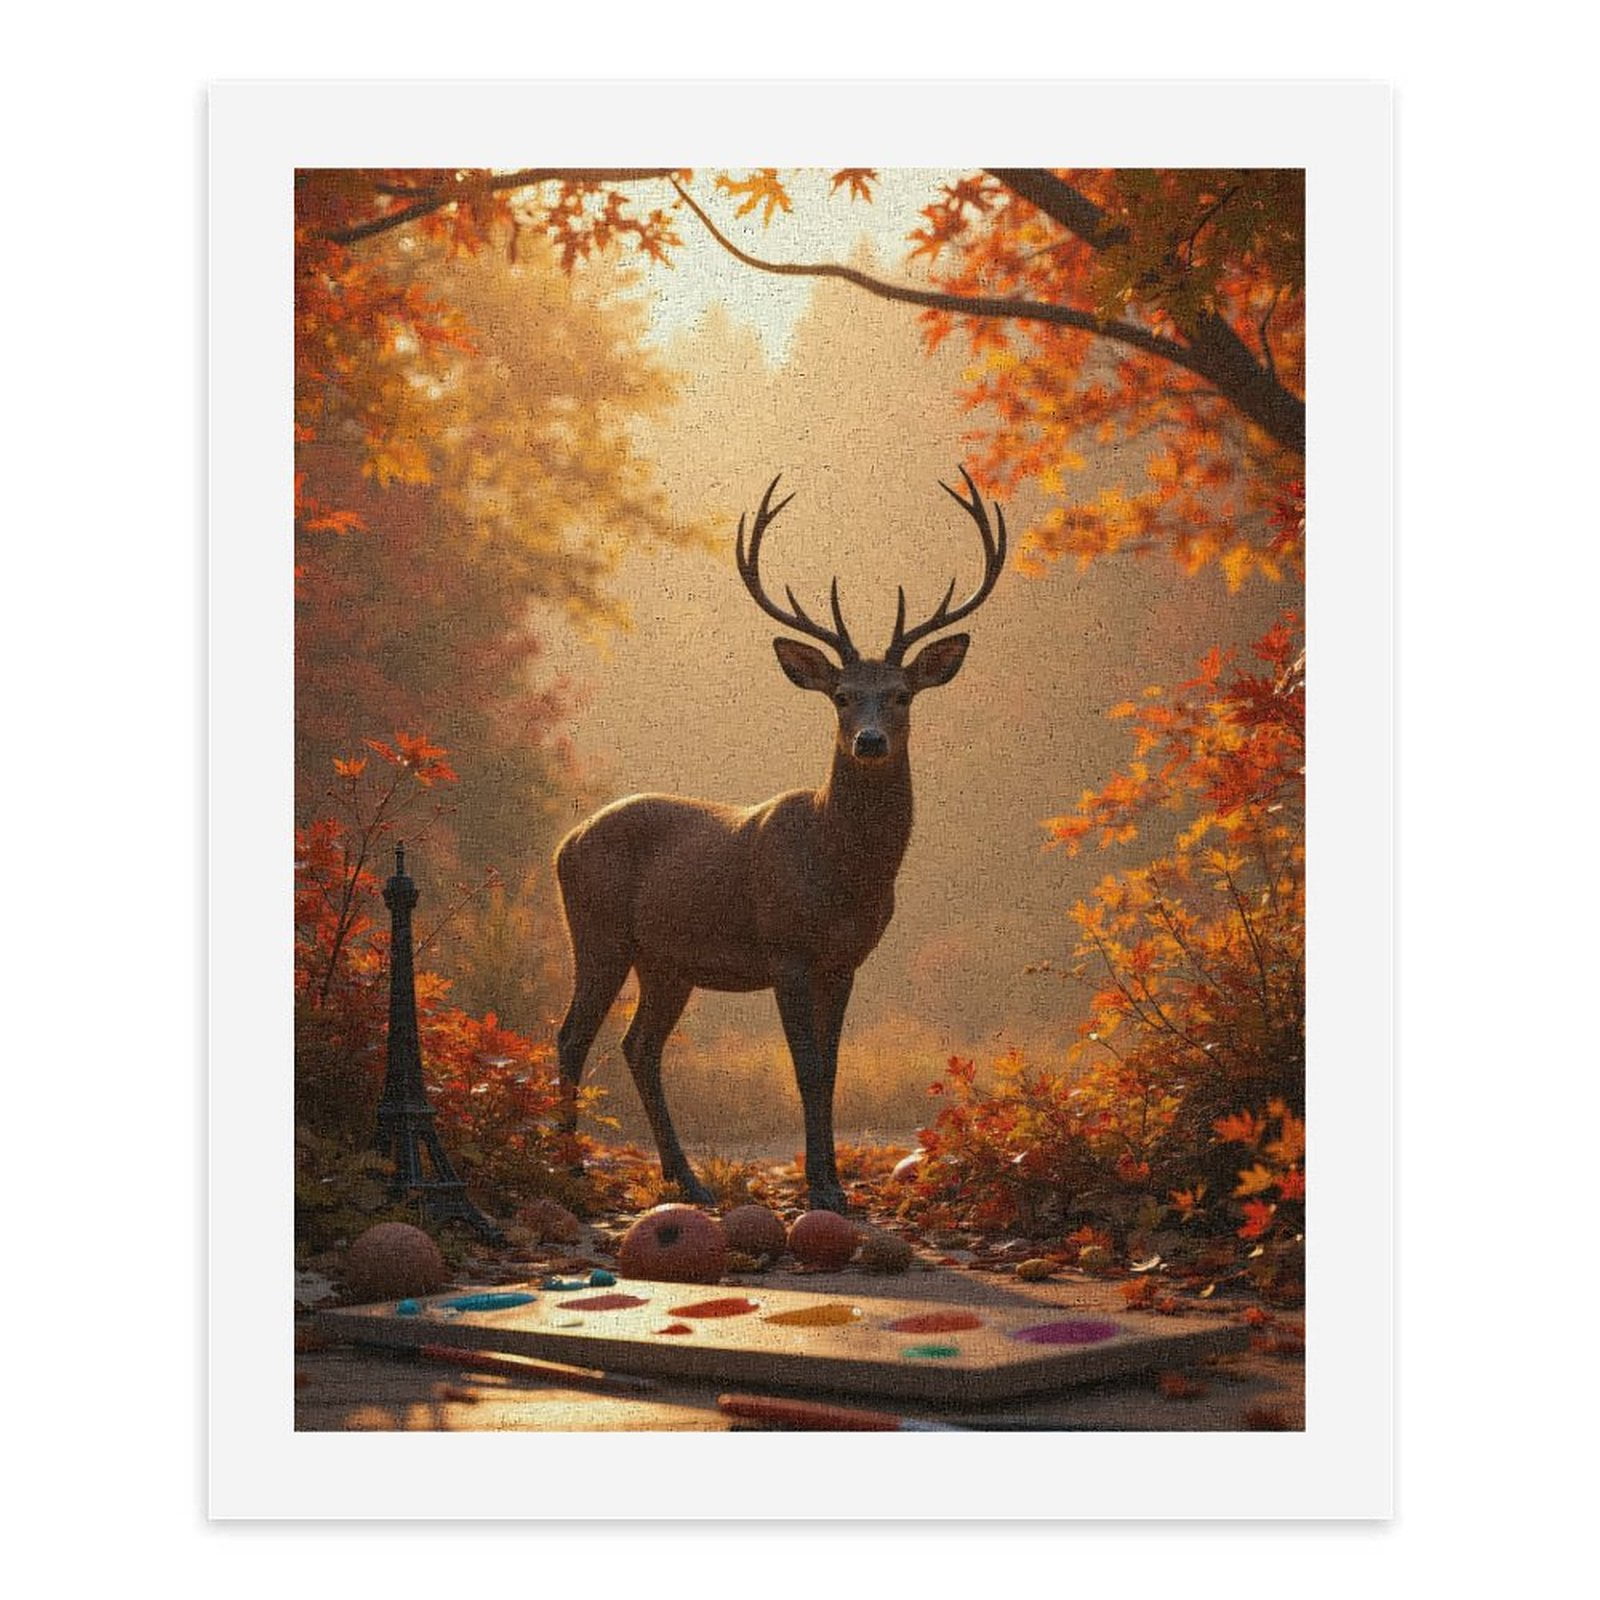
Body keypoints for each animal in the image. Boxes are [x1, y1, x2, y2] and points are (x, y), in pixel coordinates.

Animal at [553, 468, 1006, 1213]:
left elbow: (832, 1067)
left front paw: (834, 1184)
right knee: (571, 1037)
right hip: (599, 931)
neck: (843, 870)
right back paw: (571, 1173)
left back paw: (688, 1180)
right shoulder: (786, 947)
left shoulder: (846, 960)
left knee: (638, 1046)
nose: (870, 741)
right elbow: (807, 1067)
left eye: (903, 693)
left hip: (667, 961)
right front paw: (821, 1188)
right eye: (842, 695)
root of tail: (565, 841)